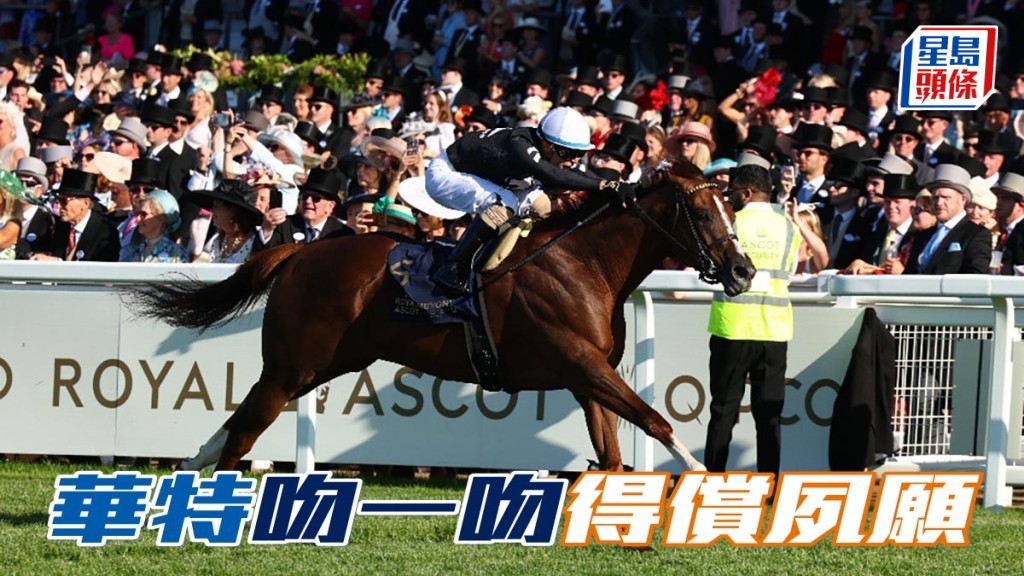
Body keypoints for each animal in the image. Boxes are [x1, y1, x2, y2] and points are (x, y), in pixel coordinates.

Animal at [129, 160, 755, 473]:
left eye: (734, 207)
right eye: (704, 212)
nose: (744, 270)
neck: (585, 263)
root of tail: (301, 252)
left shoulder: (587, 376)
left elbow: (612, 455)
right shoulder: (582, 365)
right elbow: (656, 422)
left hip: (321, 364)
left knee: (239, 422)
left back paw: (188, 471)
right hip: (294, 365)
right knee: (244, 431)